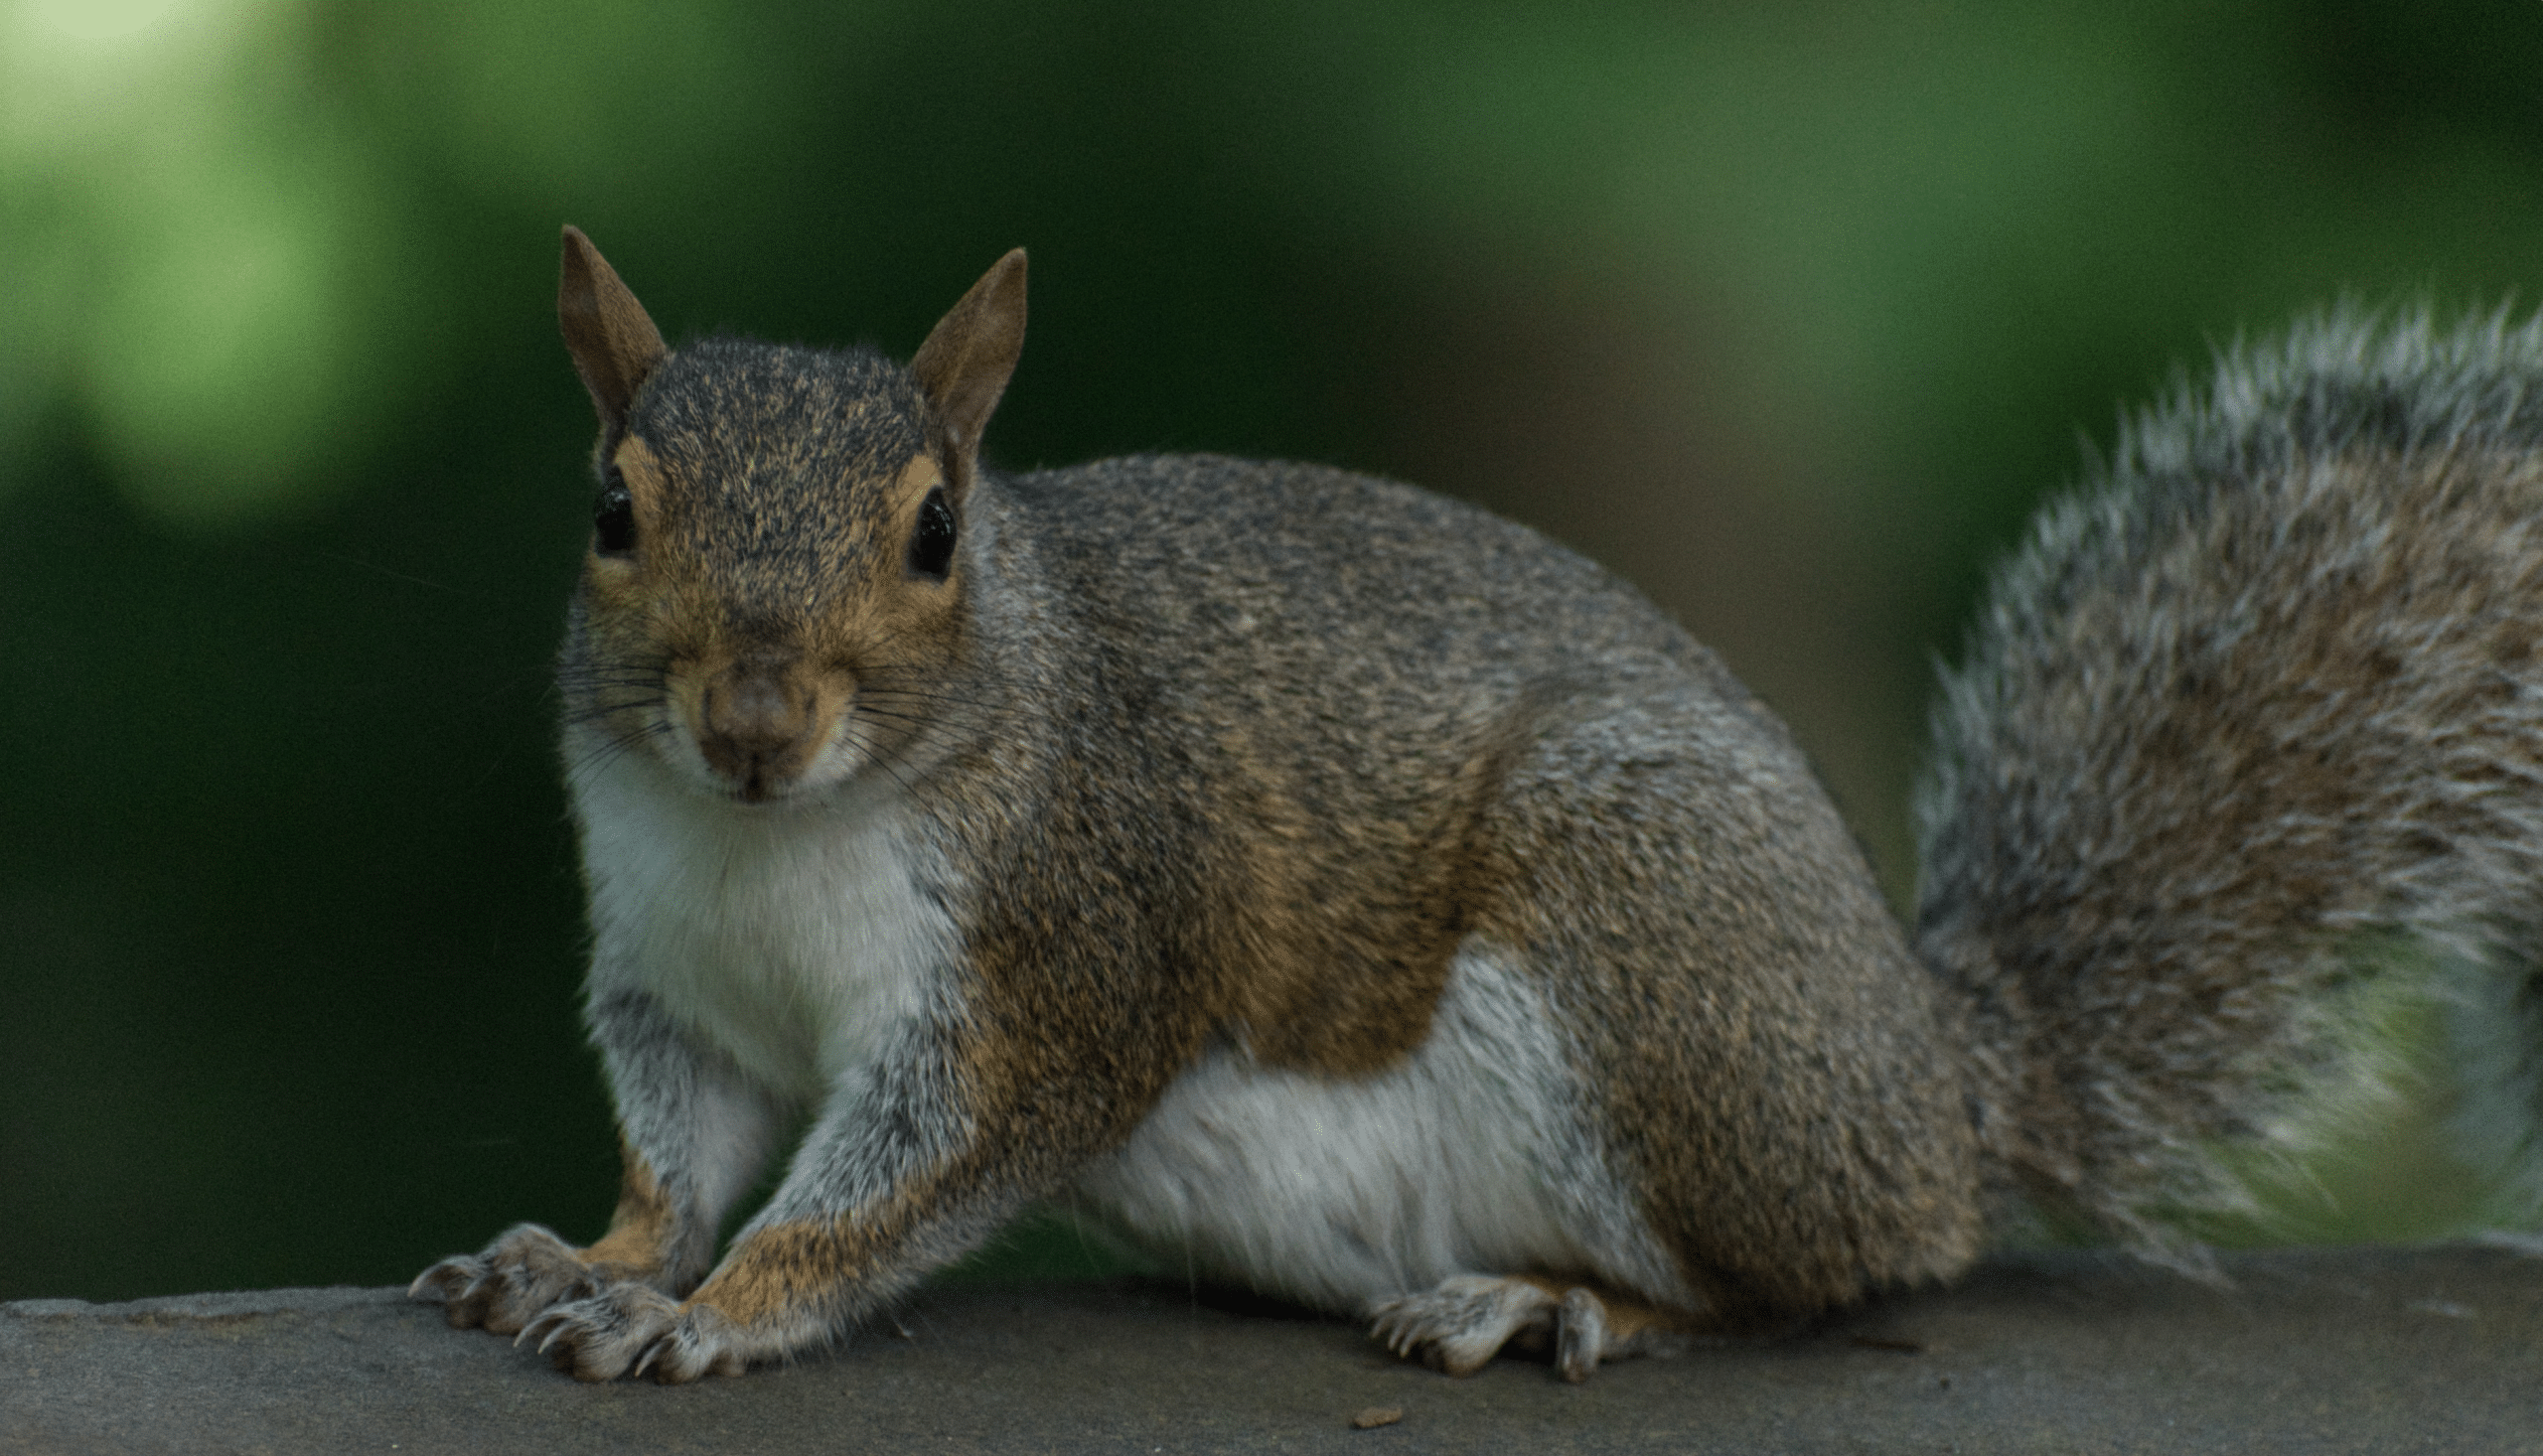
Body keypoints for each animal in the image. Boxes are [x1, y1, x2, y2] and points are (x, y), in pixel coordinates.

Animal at [411, 227, 2543, 1384]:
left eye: (937, 532)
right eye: (612, 507)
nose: (755, 718)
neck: (769, 844)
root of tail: (1939, 1087)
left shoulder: (1063, 953)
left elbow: (897, 1176)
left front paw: (717, 1313)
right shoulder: (674, 974)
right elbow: (681, 1152)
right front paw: (589, 1261)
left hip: (1644, 955)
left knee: (1803, 1287)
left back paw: (1550, 1306)